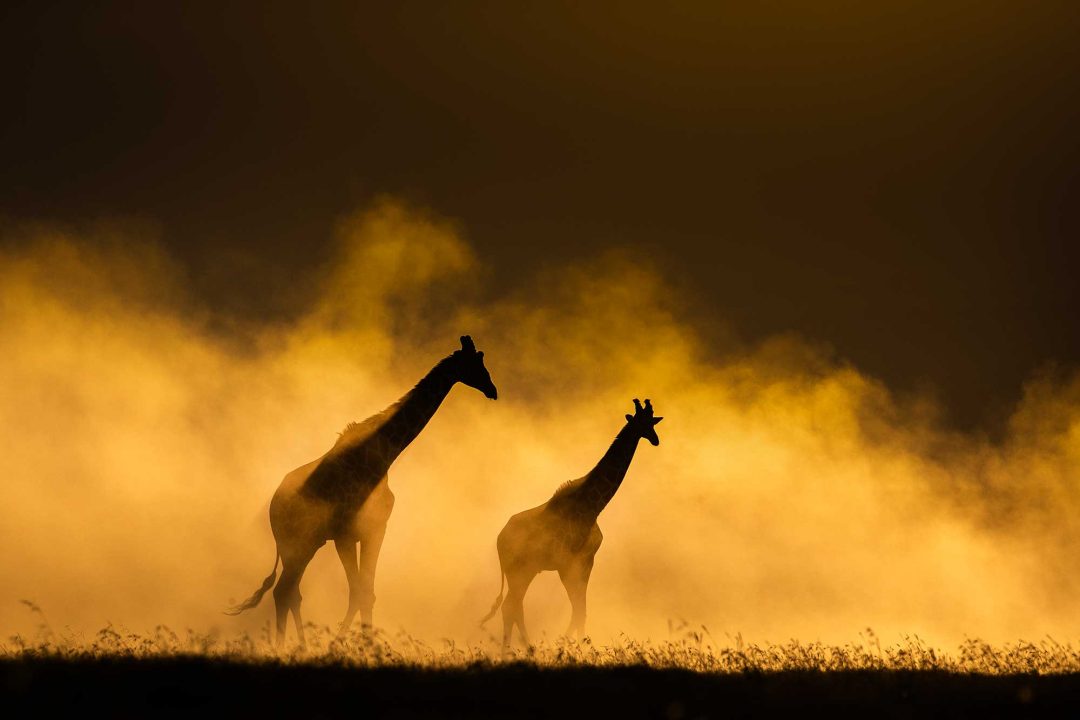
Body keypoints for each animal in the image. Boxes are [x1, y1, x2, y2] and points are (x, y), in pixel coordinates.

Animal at [227, 335, 498, 645]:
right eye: (476, 362)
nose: (492, 390)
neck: (381, 457)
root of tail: (273, 506)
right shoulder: (346, 534)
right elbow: (359, 592)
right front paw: (346, 645)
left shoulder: (374, 530)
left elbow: (365, 593)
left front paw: (362, 646)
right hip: (298, 542)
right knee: (284, 591)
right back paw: (286, 647)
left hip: (303, 544)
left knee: (290, 591)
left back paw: (299, 647)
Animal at [481, 398, 662, 651]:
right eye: (640, 422)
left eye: (652, 421)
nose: (655, 439)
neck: (592, 507)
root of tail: (499, 539)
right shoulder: (568, 564)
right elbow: (578, 609)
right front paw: (570, 647)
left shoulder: (586, 562)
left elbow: (580, 610)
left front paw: (574, 646)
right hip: (520, 569)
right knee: (511, 606)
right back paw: (519, 650)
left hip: (526, 570)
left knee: (514, 605)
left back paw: (521, 649)